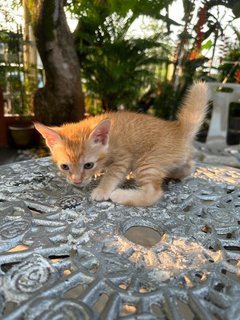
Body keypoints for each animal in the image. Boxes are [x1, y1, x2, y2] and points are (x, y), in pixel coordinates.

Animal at [35, 82, 208, 208]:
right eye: (64, 167)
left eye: (88, 165)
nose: (77, 181)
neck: (109, 140)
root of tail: (179, 130)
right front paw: (98, 174)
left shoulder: (123, 158)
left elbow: (112, 175)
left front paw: (102, 189)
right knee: (189, 166)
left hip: (147, 161)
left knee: (154, 192)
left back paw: (120, 195)